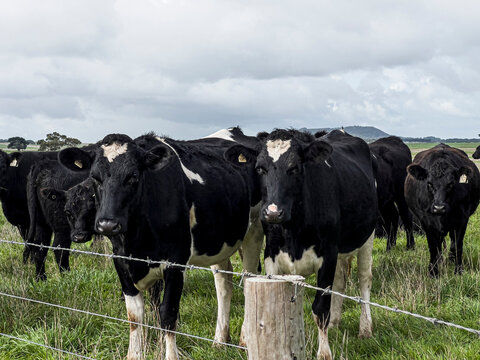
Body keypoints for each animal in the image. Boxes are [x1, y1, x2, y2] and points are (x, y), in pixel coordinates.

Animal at [58, 132, 264, 360]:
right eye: (95, 177)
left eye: (133, 176)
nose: (107, 224)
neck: (136, 241)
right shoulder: (121, 261)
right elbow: (134, 315)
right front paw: (134, 355)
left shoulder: (175, 263)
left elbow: (167, 314)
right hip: (219, 243)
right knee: (223, 283)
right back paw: (219, 340)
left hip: (254, 231)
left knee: (249, 278)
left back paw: (244, 340)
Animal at [225, 129, 378, 360]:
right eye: (260, 168)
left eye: (294, 168)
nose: (273, 212)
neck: (293, 231)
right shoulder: (272, 256)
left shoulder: (328, 254)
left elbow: (320, 308)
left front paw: (324, 352)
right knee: (340, 280)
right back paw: (335, 323)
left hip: (367, 235)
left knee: (364, 279)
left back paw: (366, 327)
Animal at [404, 143, 480, 276]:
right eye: (429, 184)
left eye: (451, 184)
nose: (439, 208)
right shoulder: (426, 222)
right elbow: (433, 247)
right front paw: (433, 272)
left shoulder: (462, 219)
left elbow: (457, 245)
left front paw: (458, 271)